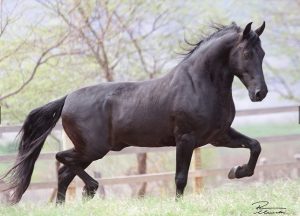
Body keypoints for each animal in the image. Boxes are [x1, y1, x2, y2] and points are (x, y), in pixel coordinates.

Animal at [2, 21, 268, 203]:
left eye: (263, 54)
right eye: (246, 53)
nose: (260, 93)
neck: (198, 84)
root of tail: (67, 98)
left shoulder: (218, 136)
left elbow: (255, 146)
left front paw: (237, 172)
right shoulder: (186, 139)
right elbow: (180, 177)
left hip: (89, 151)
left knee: (64, 174)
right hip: (92, 149)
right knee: (61, 160)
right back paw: (91, 188)